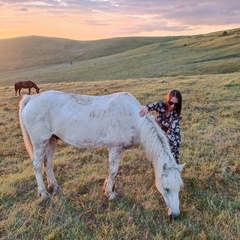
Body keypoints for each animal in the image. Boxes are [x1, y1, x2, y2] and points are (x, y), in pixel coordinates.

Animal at [19, 90, 186, 218]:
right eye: (166, 188)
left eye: (180, 188)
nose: (175, 215)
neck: (133, 118)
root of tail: (32, 98)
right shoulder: (114, 148)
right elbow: (113, 171)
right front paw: (110, 194)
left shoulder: (118, 150)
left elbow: (113, 171)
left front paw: (107, 188)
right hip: (40, 142)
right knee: (37, 165)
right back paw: (44, 193)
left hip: (51, 140)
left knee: (48, 164)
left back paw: (54, 187)